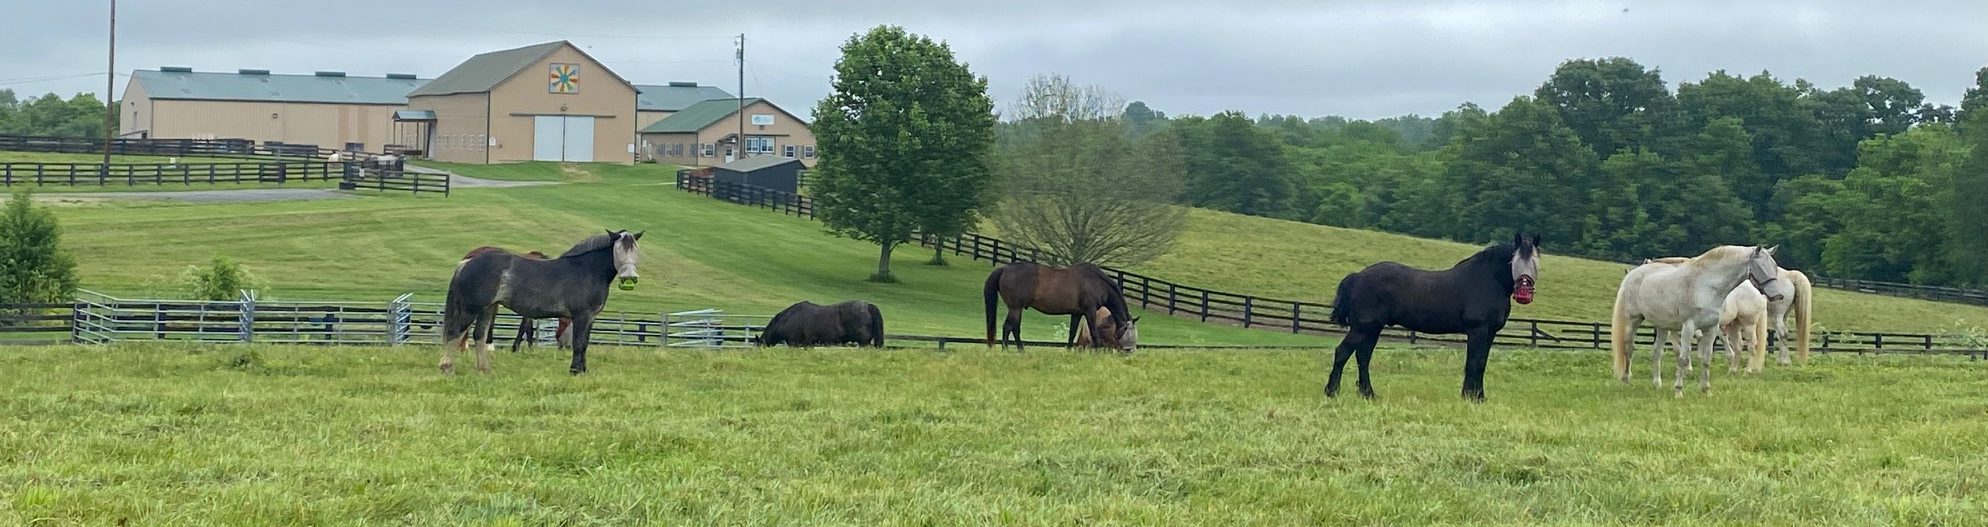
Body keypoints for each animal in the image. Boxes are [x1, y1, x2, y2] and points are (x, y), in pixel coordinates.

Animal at [444, 230, 643, 375]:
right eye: (618, 250)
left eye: (635, 250)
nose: (629, 278)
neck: (587, 270)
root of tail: (467, 262)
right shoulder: (581, 316)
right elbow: (578, 344)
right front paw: (575, 371)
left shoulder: (590, 318)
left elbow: (584, 344)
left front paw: (583, 370)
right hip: (471, 308)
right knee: (455, 332)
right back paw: (447, 368)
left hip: (488, 308)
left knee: (479, 335)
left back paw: (484, 369)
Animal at [983, 262, 1131, 352]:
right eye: (1127, 332)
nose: (1126, 350)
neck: (1096, 282)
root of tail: (1004, 269)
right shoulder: (1090, 311)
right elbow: (1094, 332)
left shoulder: (1077, 313)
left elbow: (1072, 333)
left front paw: (1068, 350)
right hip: (1015, 308)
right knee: (1009, 327)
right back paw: (1008, 350)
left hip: (1016, 309)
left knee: (1013, 328)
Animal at [1326, 233, 1540, 401]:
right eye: (1515, 261)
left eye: (1536, 262)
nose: (1524, 292)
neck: (1488, 280)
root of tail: (1358, 277)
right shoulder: (1477, 331)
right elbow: (1473, 363)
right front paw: (1469, 396)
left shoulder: (1490, 333)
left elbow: (1481, 364)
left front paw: (1480, 396)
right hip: (1362, 328)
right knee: (1343, 352)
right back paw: (1332, 391)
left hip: (1373, 329)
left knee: (1363, 357)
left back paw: (1368, 394)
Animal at [1610, 245, 1779, 396]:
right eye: (1761, 267)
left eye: (1774, 267)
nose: (1778, 295)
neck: (1706, 286)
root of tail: (1632, 276)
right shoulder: (1688, 327)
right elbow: (1683, 357)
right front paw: (1679, 390)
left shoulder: (1711, 328)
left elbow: (1706, 358)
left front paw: (1706, 390)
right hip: (1635, 321)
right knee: (1630, 349)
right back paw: (1626, 380)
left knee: (1657, 352)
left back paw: (1657, 384)